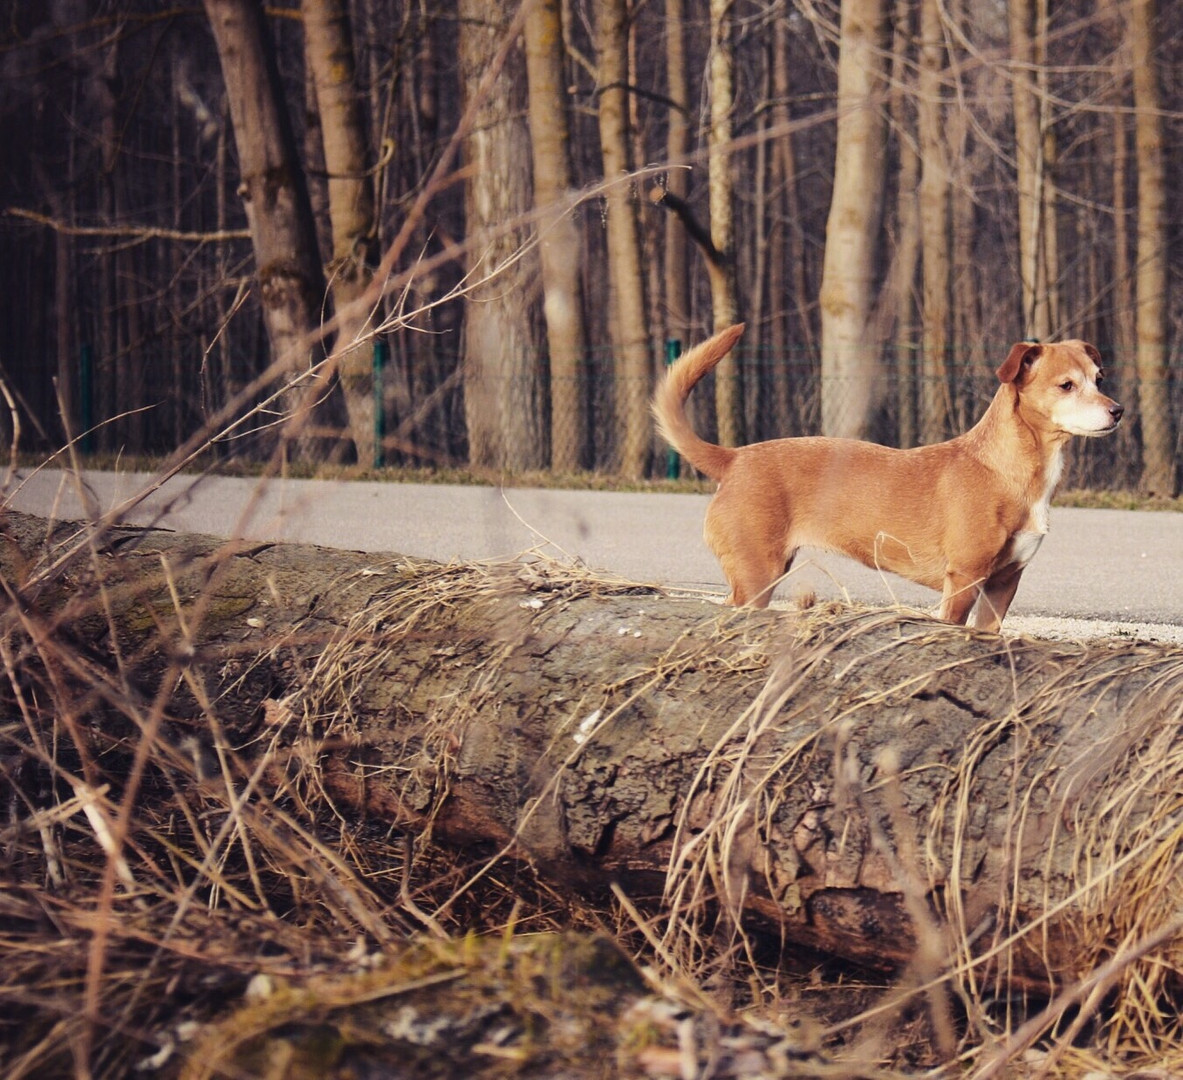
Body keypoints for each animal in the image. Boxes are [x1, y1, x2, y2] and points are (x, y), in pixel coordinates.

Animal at [657, 328, 1126, 629]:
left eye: (1099, 379)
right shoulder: (964, 580)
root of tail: (735, 458)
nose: (1118, 410)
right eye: (1066, 385)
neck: (1009, 469)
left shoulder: (1003, 584)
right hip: (756, 577)